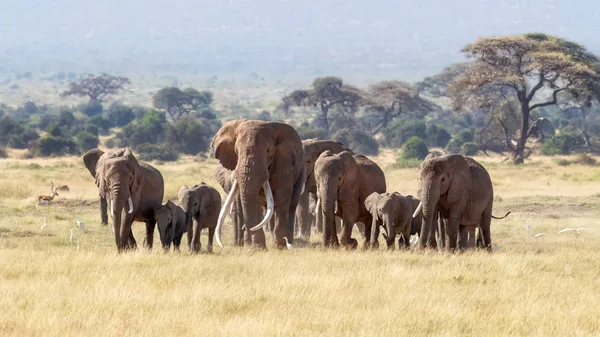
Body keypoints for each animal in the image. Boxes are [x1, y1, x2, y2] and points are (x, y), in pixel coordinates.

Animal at [212, 119, 304, 248]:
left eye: (268, 151)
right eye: (236, 151)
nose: (246, 228)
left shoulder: (284, 164)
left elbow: (282, 198)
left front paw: (280, 247)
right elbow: (253, 200)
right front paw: (257, 248)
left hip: (300, 173)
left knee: (291, 204)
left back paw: (288, 242)